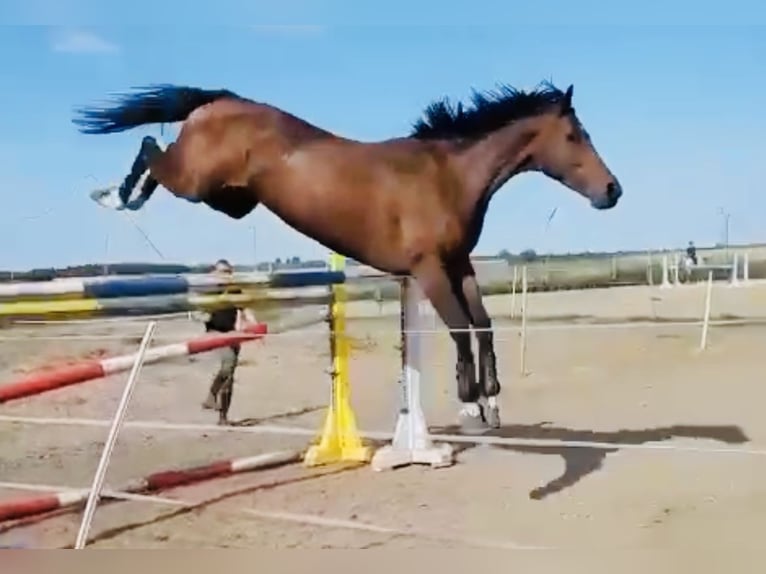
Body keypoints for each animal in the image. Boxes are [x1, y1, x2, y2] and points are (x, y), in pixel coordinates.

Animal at [72, 80, 624, 432]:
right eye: (574, 135)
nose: (612, 191)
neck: (447, 174)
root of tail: (221, 102)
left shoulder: (459, 264)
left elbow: (482, 325)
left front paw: (492, 400)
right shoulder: (429, 269)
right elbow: (459, 328)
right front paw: (470, 406)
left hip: (230, 199)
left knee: (155, 152)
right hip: (196, 182)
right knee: (151, 147)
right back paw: (114, 197)